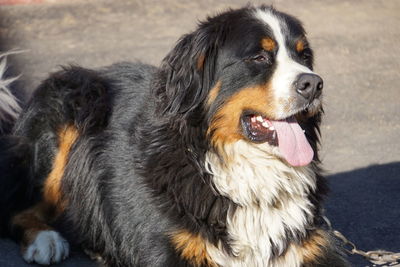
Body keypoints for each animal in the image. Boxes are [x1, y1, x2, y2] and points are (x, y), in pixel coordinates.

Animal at [0, 4, 348, 267]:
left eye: (304, 56)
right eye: (260, 57)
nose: (313, 84)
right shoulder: (168, 249)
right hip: (73, 100)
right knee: (16, 208)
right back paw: (46, 241)